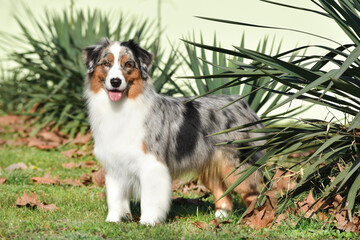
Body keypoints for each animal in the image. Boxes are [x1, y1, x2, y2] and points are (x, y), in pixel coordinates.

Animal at [83, 37, 264, 225]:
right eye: (106, 63)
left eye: (129, 64)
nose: (115, 82)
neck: (121, 107)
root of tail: (242, 103)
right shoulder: (114, 165)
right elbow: (115, 197)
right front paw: (113, 221)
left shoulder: (152, 164)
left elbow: (149, 198)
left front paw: (148, 222)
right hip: (213, 163)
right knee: (222, 192)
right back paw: (220, 219)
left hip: (237, 165)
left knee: (254, 195)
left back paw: (254, 221)